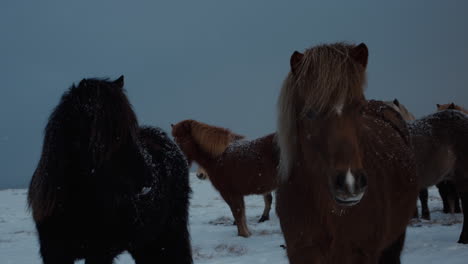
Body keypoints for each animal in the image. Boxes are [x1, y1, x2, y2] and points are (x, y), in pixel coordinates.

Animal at [27, 76, 192, 262]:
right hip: (144, 242)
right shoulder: (54, 253)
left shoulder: (99, 252)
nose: (147, 183)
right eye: (111, 135)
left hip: (170, 232)